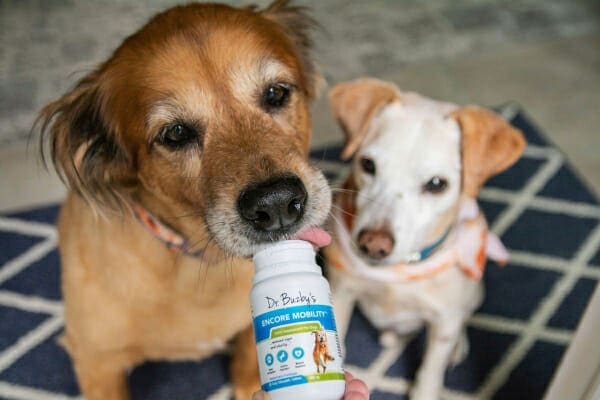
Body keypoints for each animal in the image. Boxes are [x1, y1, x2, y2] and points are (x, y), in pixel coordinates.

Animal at [324, 79, 524, 400]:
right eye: (368, 165)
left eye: (437, 184)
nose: (373, 244)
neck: (398, 273)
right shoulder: (341, 294)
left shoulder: (443, 324)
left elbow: (429, 376)